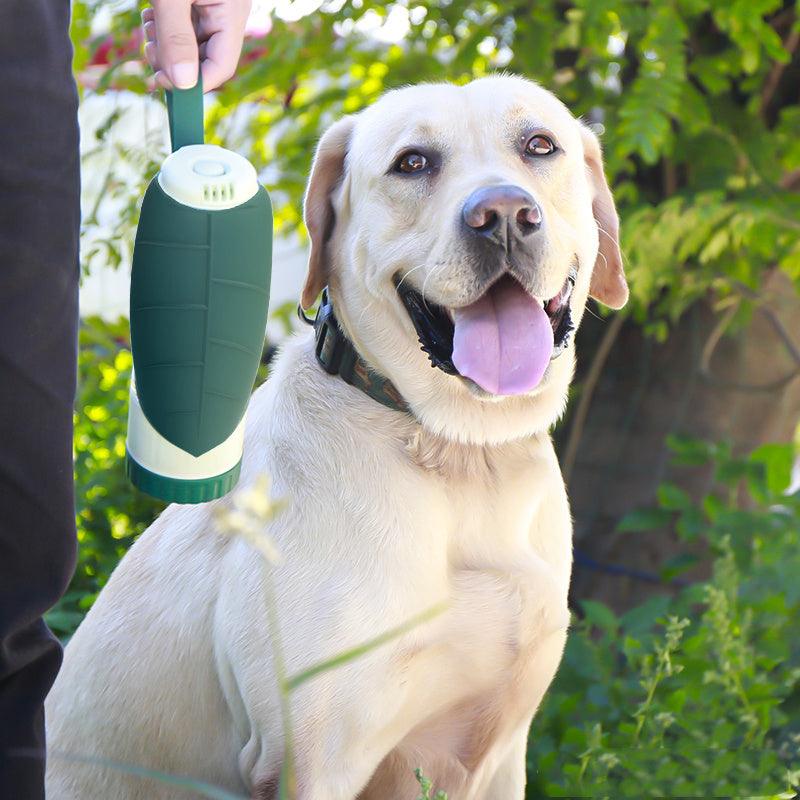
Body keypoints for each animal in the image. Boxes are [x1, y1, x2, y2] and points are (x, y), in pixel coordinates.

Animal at [47, 75, 628, 800]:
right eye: (413, 162)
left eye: (540, 146)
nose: (502, 215)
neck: (460, 455)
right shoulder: (314, 760)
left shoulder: (504, 754)